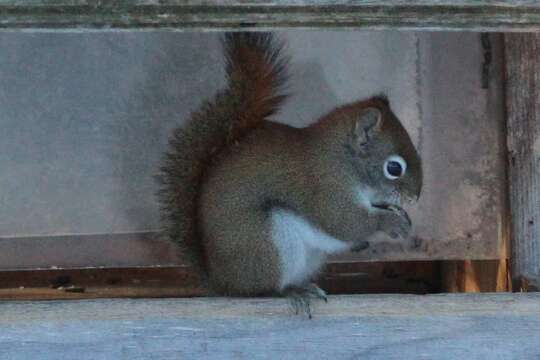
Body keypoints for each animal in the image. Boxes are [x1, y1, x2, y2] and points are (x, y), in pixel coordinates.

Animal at [156, 32, 422, 316]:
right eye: (394, 168)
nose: (415, 197)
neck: (343, 160)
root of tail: (222, 282)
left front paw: (400, 215)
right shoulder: (325, 186)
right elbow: (344, 222)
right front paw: (391, 222)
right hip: (265, 242)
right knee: (261, 291)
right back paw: (290, 291)